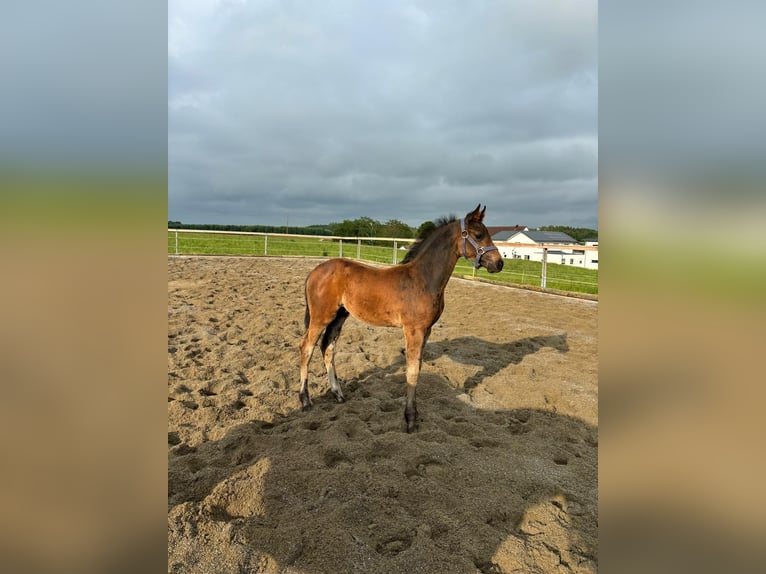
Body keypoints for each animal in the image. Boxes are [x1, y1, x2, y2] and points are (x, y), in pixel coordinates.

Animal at [298, 206, 504, 432]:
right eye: (478, 235)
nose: (499, 263)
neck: (423, 279)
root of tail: (315, 271)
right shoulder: (414, 329)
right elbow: (412, 371)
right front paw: (410, 418)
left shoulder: (427, 330)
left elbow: (418, 368)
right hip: (321, 316)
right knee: (306, 348)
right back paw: (305, 400)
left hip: (339, 316)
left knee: (327, 347)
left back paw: (338, 394)